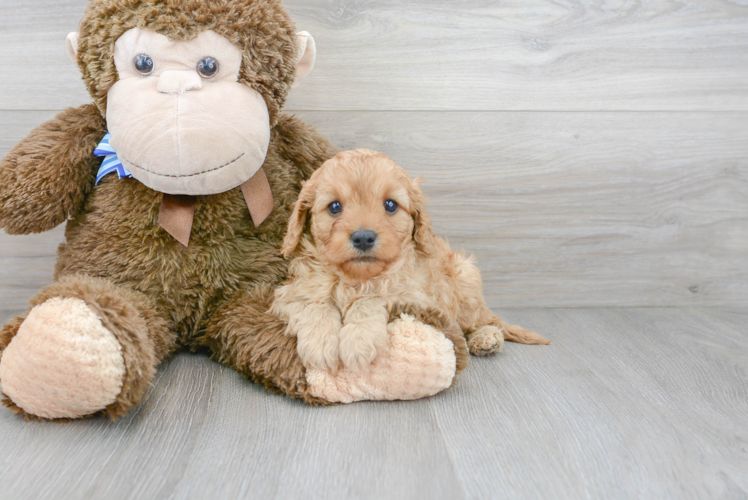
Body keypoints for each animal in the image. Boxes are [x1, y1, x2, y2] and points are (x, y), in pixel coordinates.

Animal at [270, 148, 548, 372]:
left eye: (391, 205)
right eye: (334, 207)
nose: (363, 238)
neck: (356, 278)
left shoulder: (415, 297)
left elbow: (370, 299)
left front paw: (358, 342)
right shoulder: (291, 293)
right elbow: (315, 304)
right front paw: (320, 345)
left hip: (466, 279)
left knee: (478, 322)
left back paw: (486, 338)